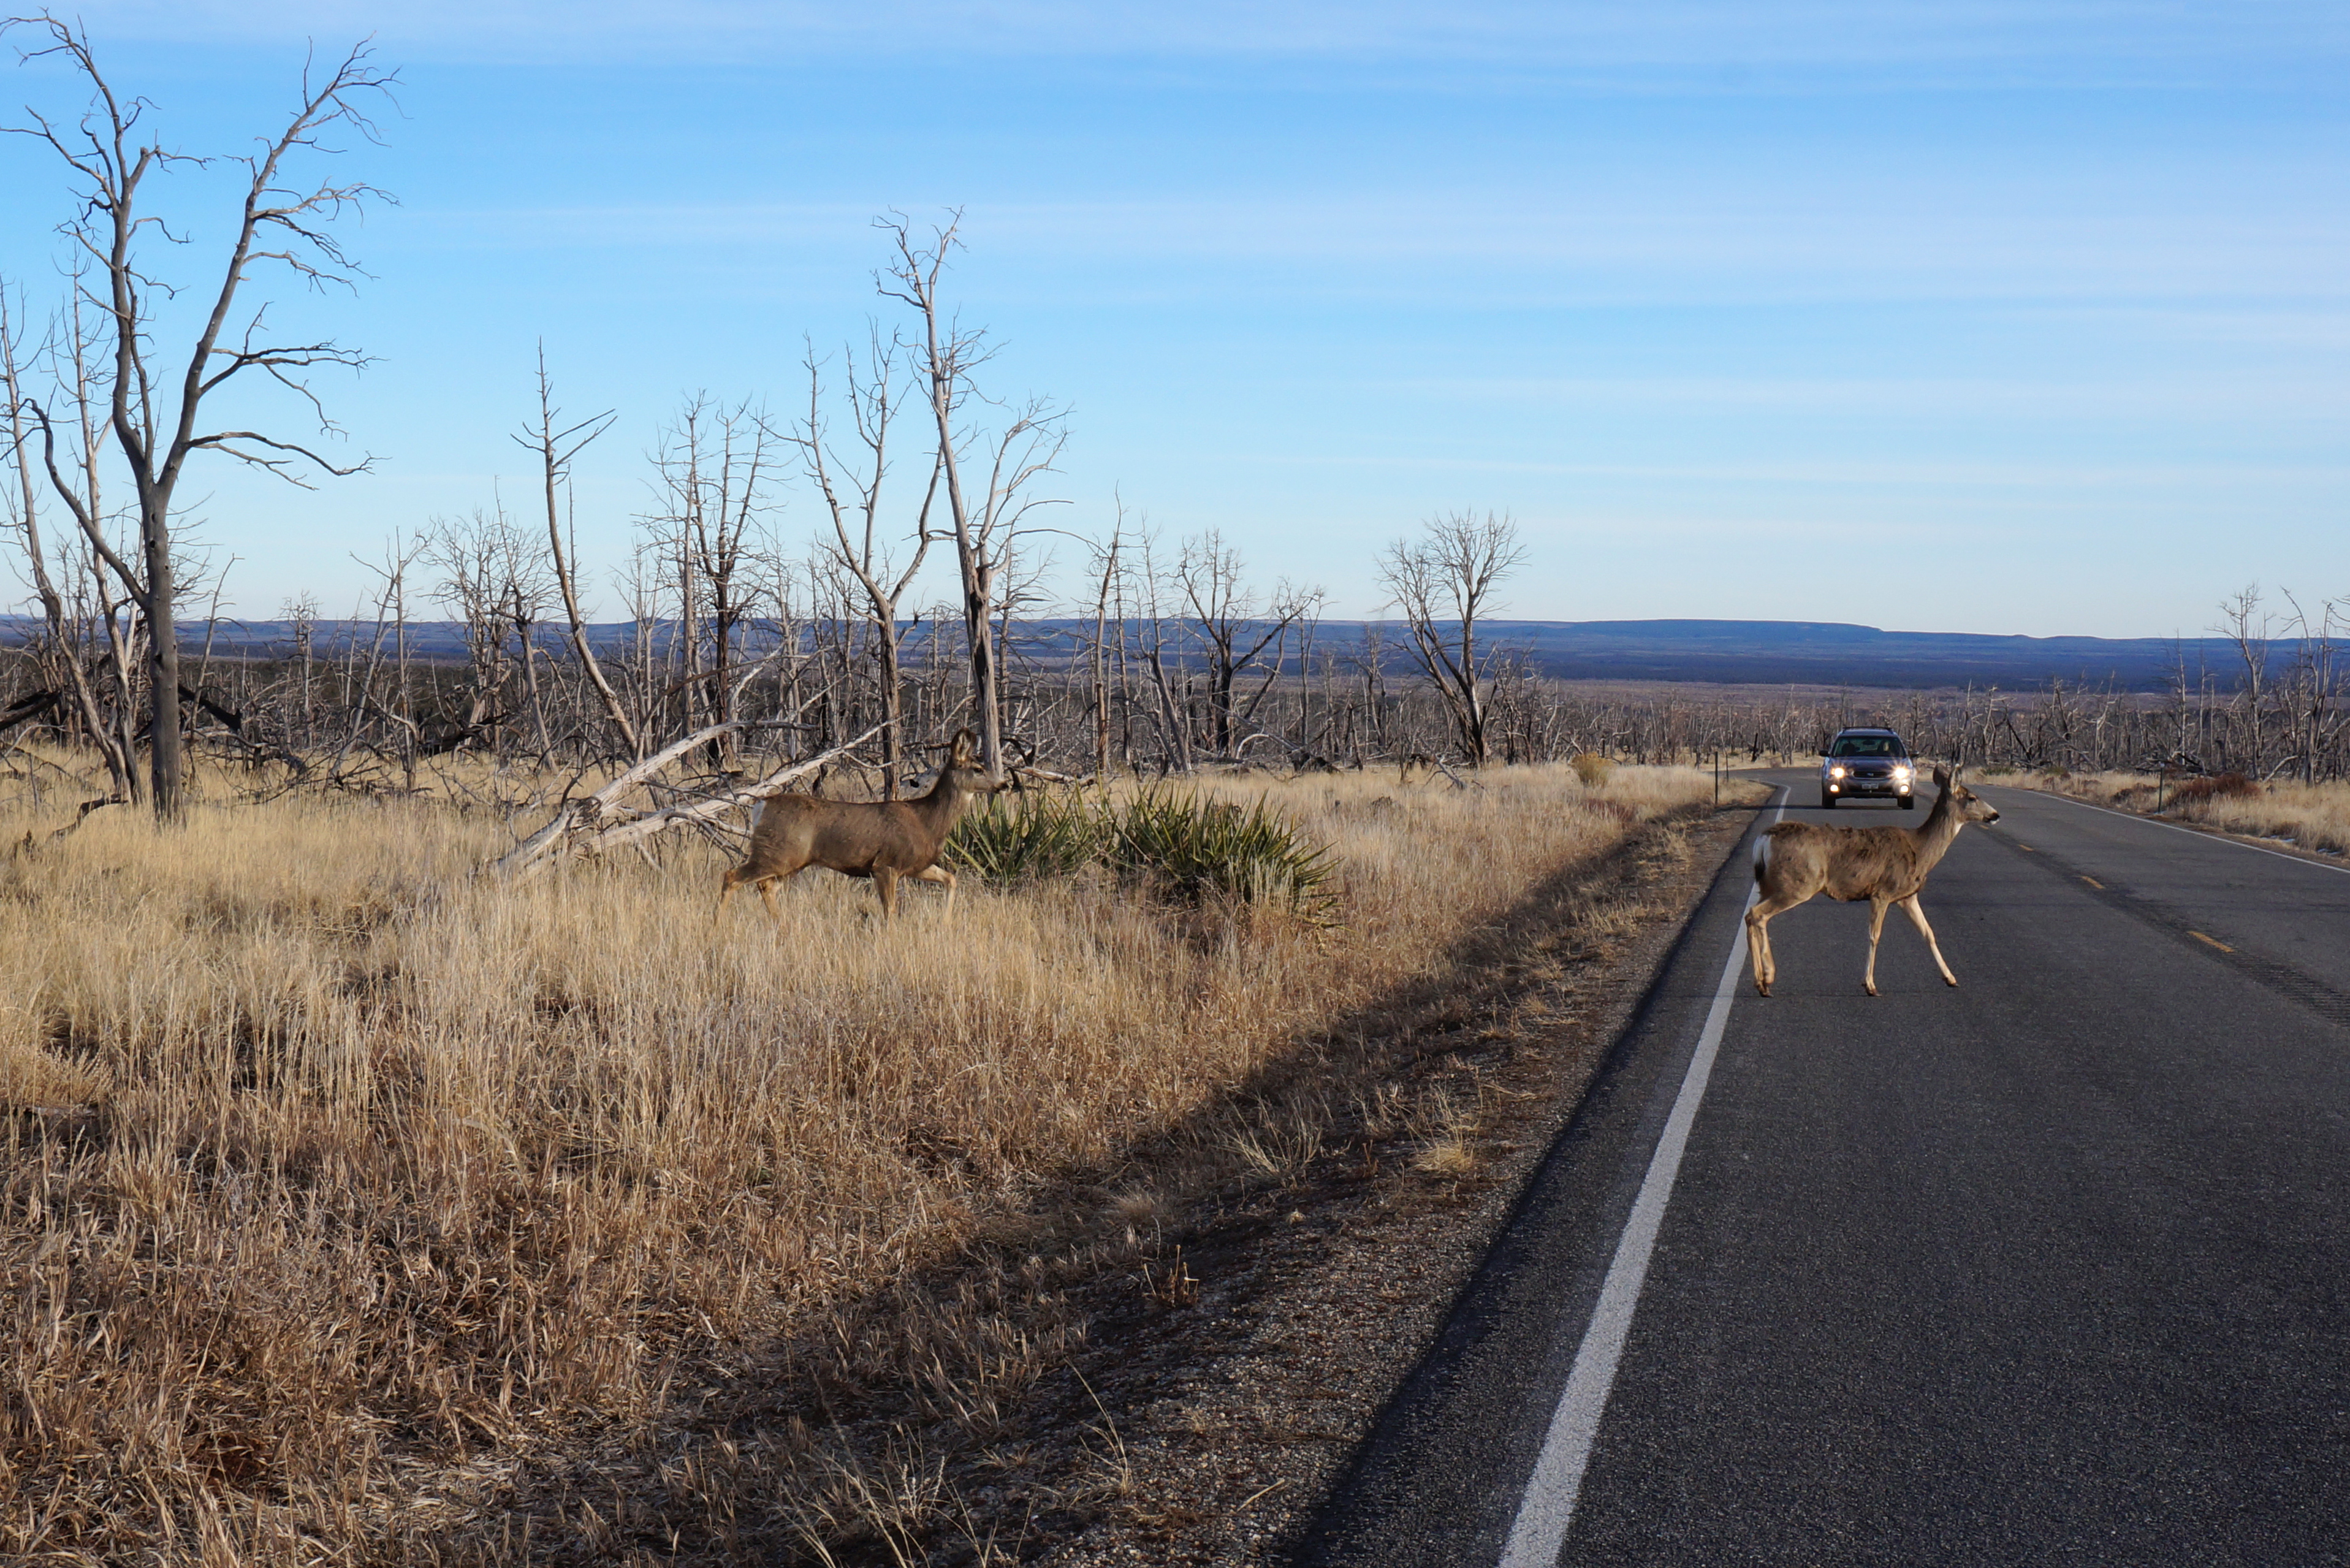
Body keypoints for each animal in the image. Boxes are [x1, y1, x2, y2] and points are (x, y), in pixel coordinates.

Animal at [714, 728, 1010, 926]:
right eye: (978, 769)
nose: (1004, 784)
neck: (928, 821)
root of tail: (761, 806)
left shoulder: (917, 866)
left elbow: (951, 880)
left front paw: (946, 923)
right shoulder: (886, 864)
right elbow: (890, 911)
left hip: (791, 860)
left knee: (766, 887)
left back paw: (782, 925)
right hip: (777, 852)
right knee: (732, 876)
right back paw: (719, 926)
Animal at [1748, 766, 2002, 1001]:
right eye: (1972, 797)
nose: (1996, 814)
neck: (1920, 850)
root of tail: (1763, 839)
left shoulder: (1908, 897)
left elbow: (1928, 933)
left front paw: (1951, 978)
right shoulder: (1883, 892)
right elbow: (1875, 935)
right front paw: (1870, 985)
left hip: (1769, 885)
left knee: (1752, 915)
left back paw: (1762, 981)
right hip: (1798, 884)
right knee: (1757, 914)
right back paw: (1766, 981)